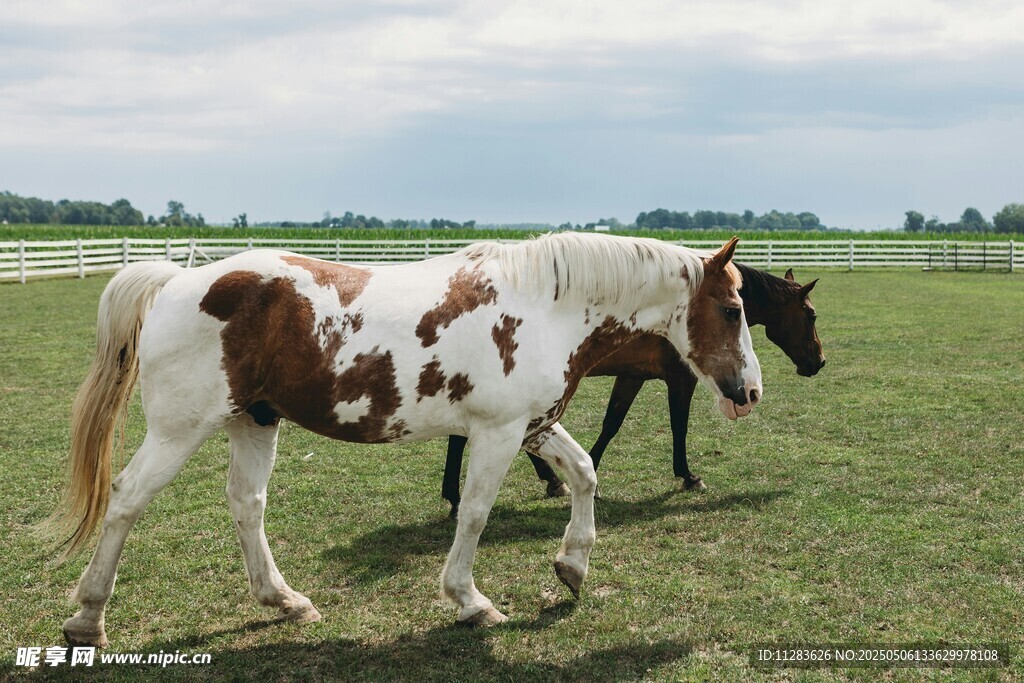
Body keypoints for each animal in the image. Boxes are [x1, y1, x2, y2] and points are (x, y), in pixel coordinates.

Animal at [44, 232, 762, 647]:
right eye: (732, 309)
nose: (749, 391)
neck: (543, 304)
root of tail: (175, 282)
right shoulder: (498, 432)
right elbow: (474, 513)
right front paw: (470, 601)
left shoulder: (533, 424)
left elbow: (585, 474)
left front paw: (572, 566)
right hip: (178, 430)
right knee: (126, 499)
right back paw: (88, 616)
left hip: (255, 421)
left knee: (247, 506)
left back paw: (284, 600)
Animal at [441, 265, 823, 514]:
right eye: (811, 315)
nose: (818, 362)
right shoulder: (681, 379)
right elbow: (678, 426)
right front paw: (688, 476)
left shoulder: (632, 377)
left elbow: (612, 423)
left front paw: (591, 474)